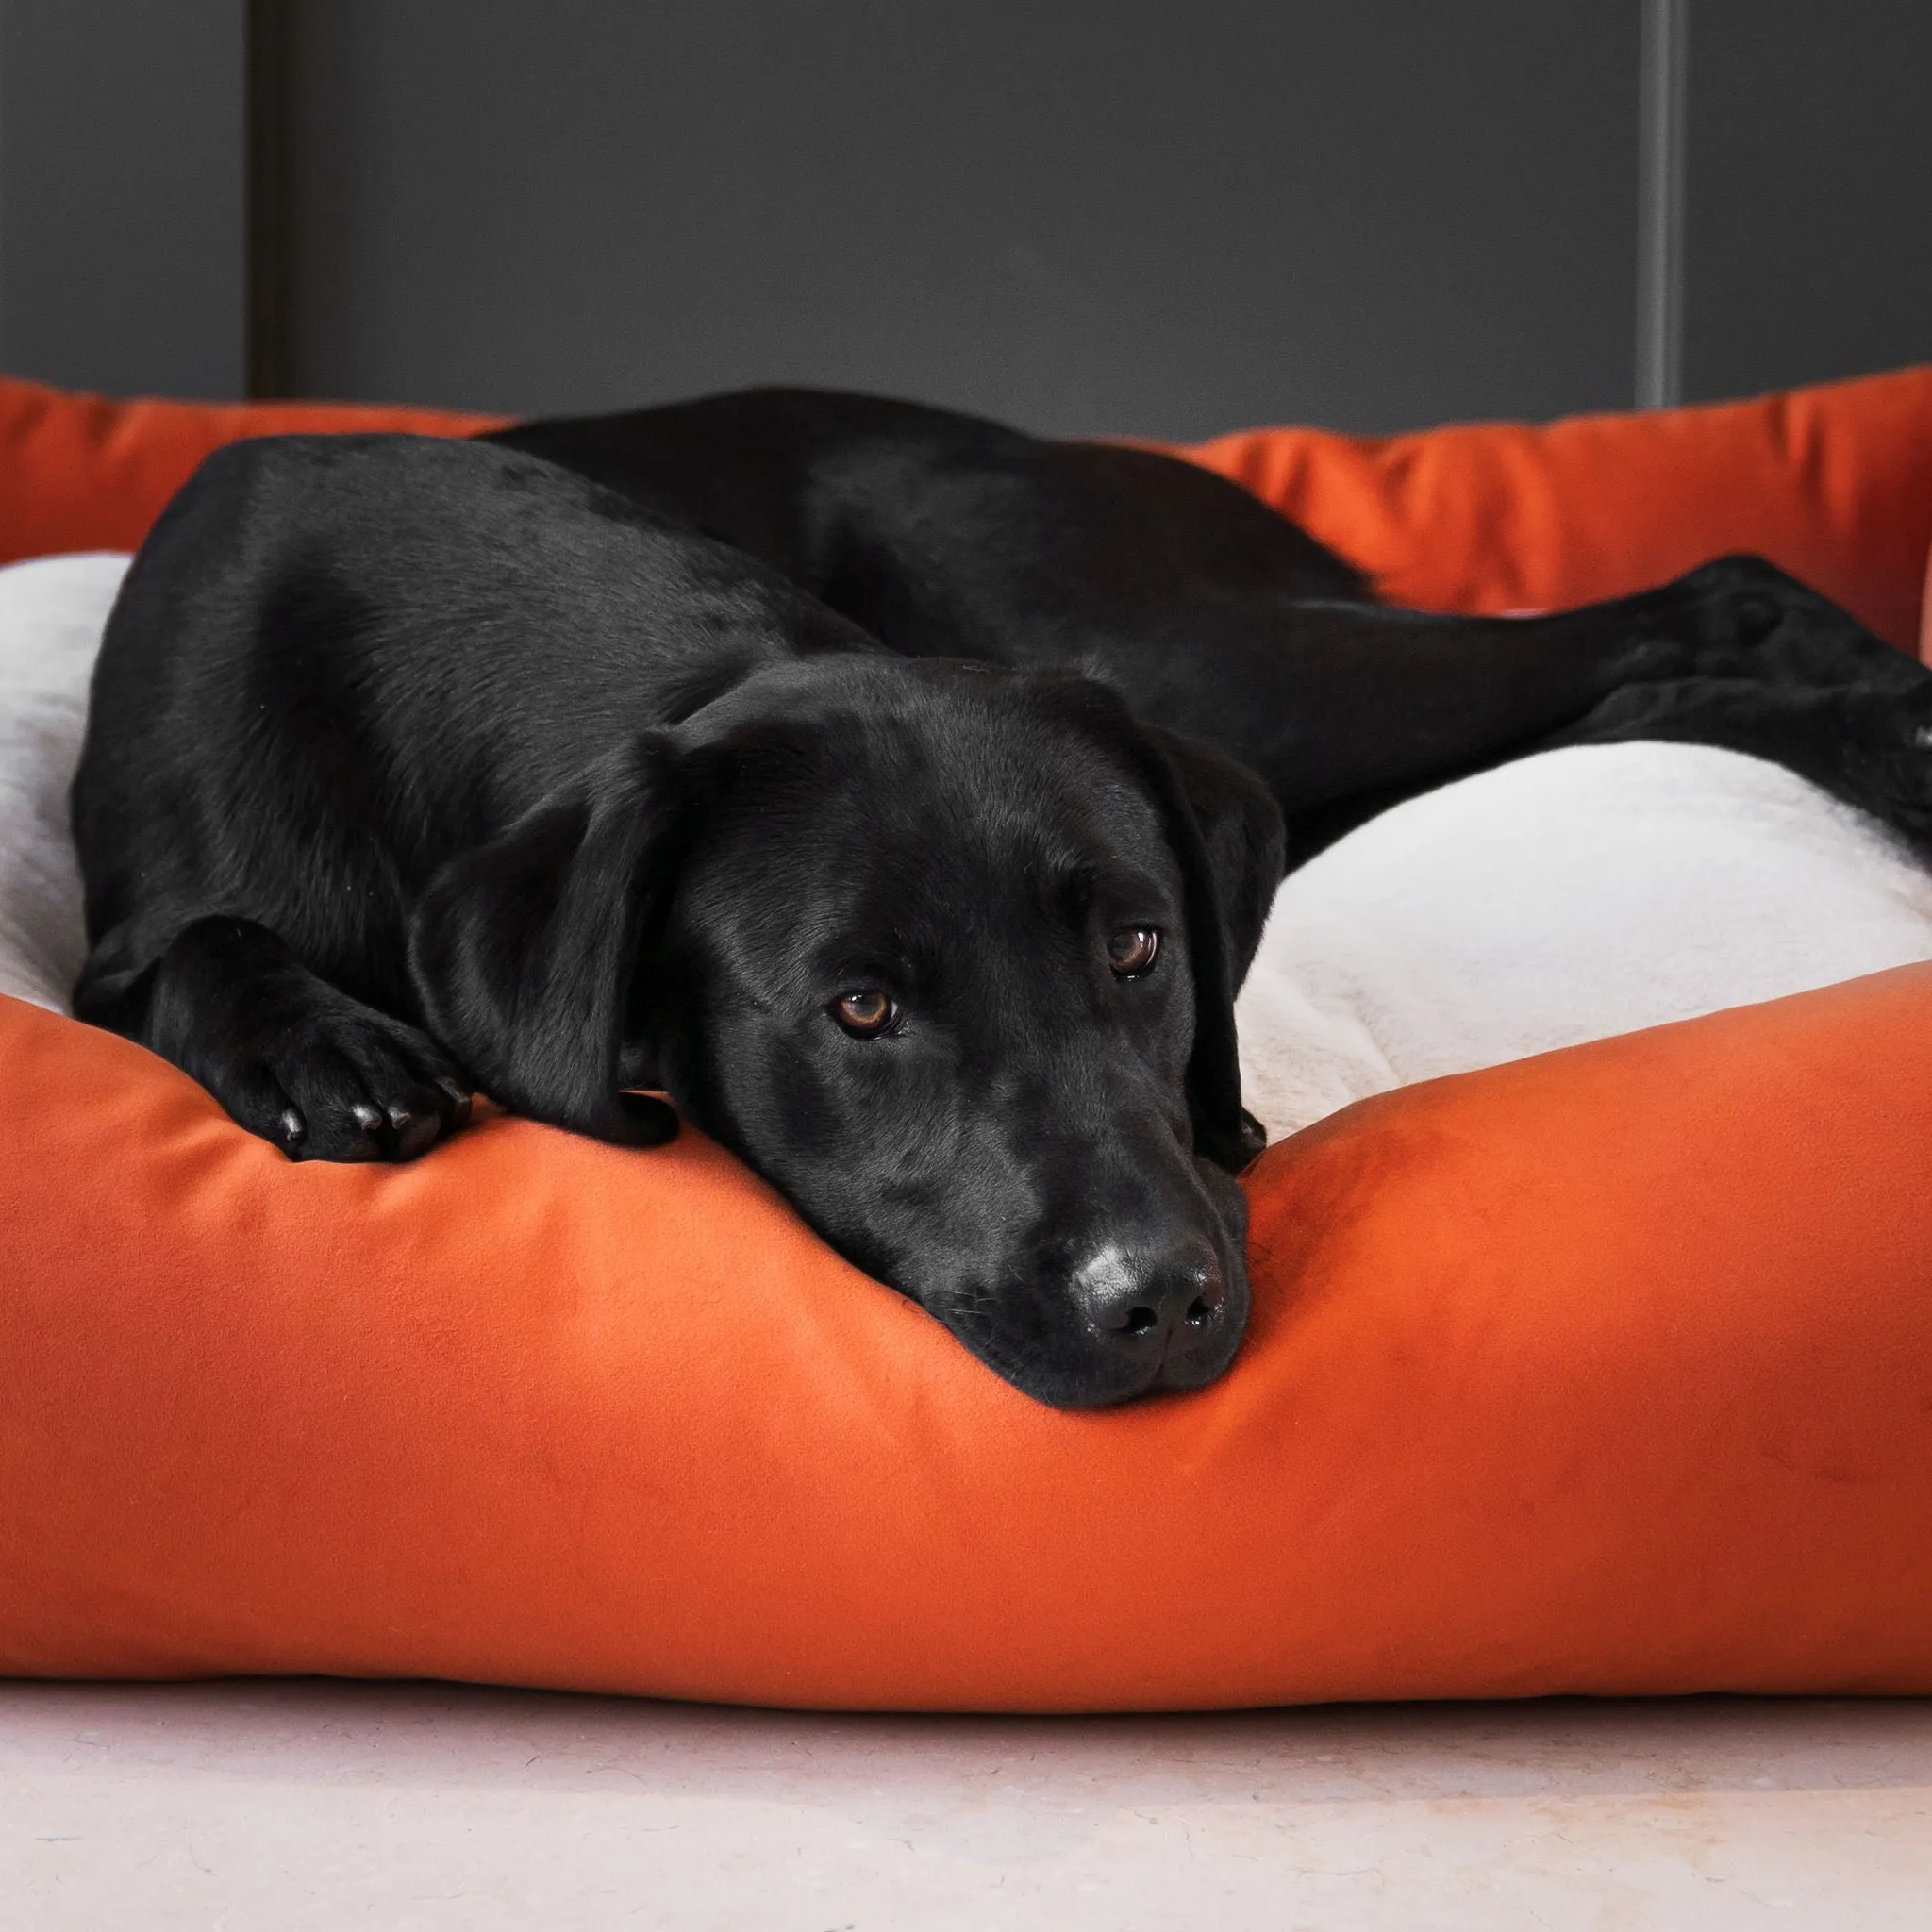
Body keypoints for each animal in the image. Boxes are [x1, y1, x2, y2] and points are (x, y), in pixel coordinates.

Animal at [71, 388, 1932, 1406]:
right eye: (861, 1006)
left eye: (1136, 945)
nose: (1159, 1299)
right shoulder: (135, 916)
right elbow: (177, 945)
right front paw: (328, 1047)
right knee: (1645, 675)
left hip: (1183, 649)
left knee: (1718, 590)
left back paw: (1899, 728)